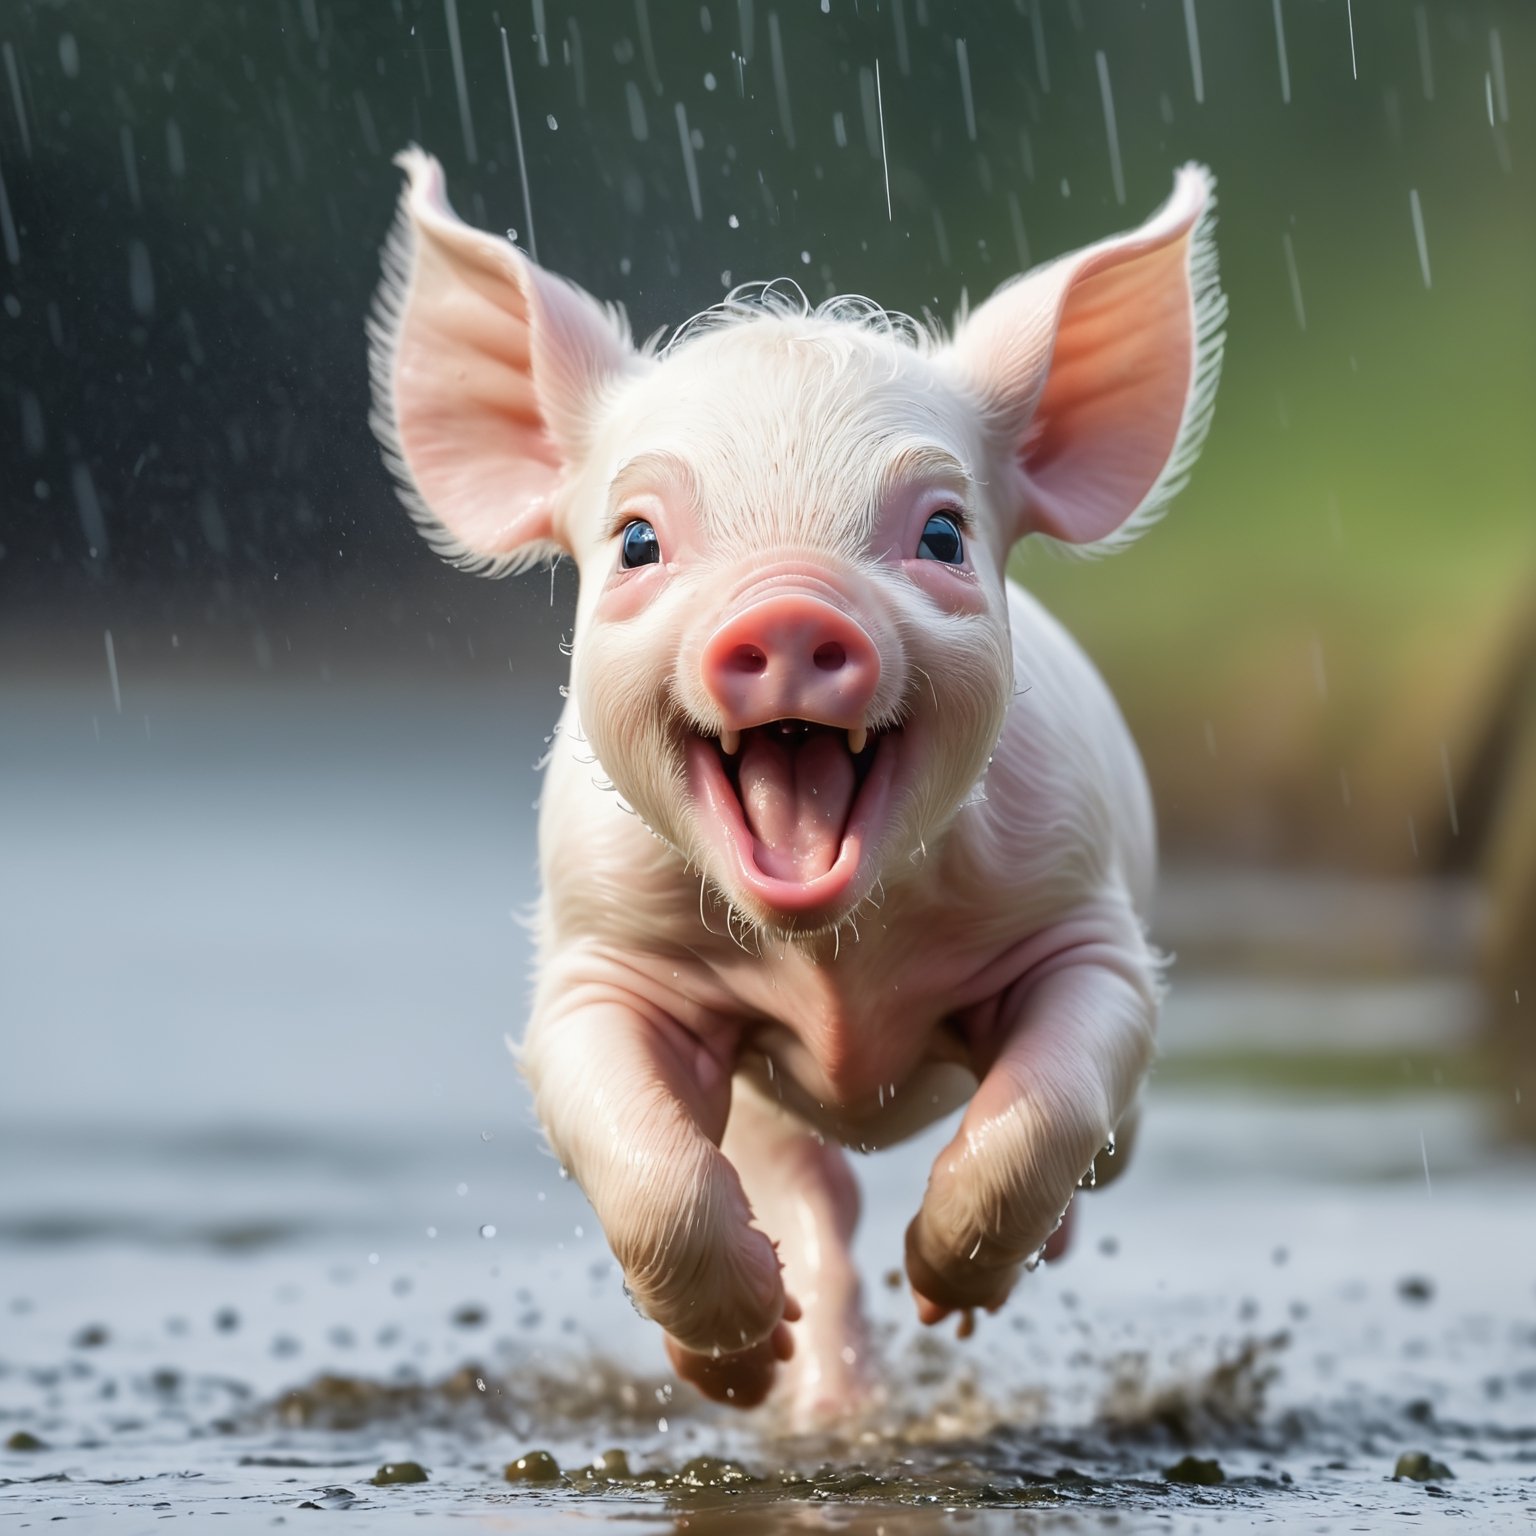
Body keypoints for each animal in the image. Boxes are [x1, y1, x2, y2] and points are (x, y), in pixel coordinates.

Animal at [368, 148, 1224, 1423]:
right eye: (636, 541)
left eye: (942, 534)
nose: (785, 610)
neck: (836, 980)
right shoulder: (593, 958)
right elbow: (647, 1162)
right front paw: (737, 1367)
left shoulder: (1088, 927)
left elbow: (1047, 1108)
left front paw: (946, 1294)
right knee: (817, 1196)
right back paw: (813, 1399)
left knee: (1098, 1146)